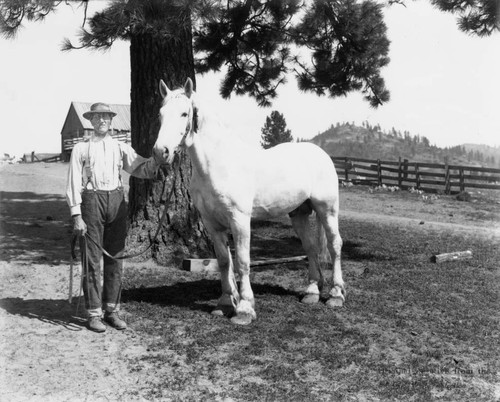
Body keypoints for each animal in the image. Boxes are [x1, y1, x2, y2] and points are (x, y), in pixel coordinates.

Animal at [154, 77, 346, 324]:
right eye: (160, 114)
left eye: (184, 114)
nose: (161, 152)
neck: (219, 164)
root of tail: (321, 154)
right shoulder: (212, 223)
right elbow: (224, 261)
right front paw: (225, 303)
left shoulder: (240, 221)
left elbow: (243, 262)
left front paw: (245, 309)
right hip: (299, 213)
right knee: (311, 247)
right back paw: (311, 292)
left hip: (327, 210)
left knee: (334, 245)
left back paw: (336, 295)